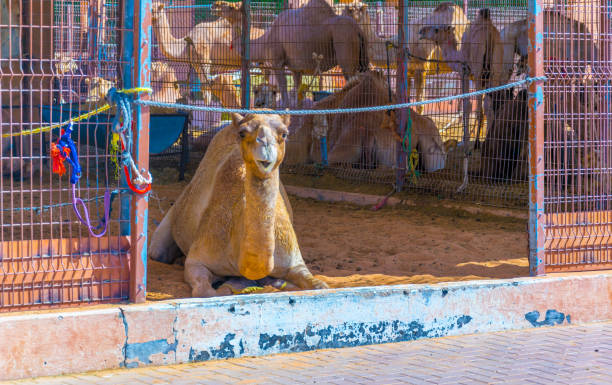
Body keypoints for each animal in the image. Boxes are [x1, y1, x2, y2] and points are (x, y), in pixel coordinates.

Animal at [149, 112, 328, 296]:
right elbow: (205, 291)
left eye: (284, 134)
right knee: (157, 252)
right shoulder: (199, 258)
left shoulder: (294, 260)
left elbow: (321, 286)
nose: (265, 146)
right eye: (242, 133)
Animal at [222, 0, 370, 106]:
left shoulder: (277, 62)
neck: (265, 40)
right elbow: (298, 91)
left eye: (230, 7)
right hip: (362, 57)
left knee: (350, 78)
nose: (216, 7)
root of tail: (358, 30)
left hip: (344, 45)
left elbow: (283, 88)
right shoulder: (296, 69)